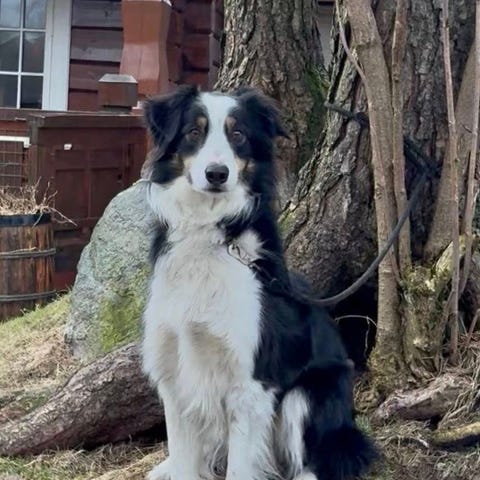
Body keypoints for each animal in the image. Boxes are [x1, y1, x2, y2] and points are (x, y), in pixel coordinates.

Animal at [141, 85, 377, 480]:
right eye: (194, 132)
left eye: (238, 135)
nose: (217, 173)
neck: (211, 232)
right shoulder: (176, 375)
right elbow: (185, 460)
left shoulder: (251, 381)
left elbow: (240, 468)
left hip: (308, 395)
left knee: (317, 464)